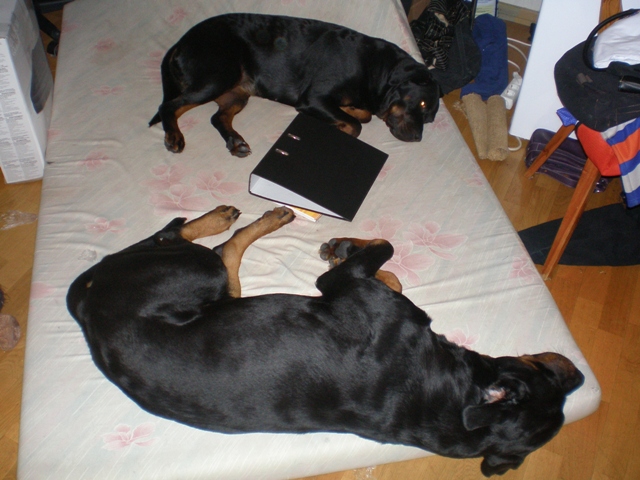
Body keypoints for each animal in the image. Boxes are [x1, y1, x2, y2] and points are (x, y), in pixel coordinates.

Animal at [67, 206, 584, 477]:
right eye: (543, 369)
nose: (574, 370)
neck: (450, 399)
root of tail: (88, 312)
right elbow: (390, 262)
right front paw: (360, 254)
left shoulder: (341, 285)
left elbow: (381, 257)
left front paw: (347, 247)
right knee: (181, 239)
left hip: (190, 272)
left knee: (202, 245)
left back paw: (242, 217)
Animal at [148, 13, 440, 156]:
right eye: (421, 102)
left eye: (430, 118)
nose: (418, 138)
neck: (376, 67)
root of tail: (181, 41)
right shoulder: (314, 98)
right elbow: (356, 126)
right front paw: (340, 127)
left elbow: (363, 115)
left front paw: (354, 111)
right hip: (218, 76)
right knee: (169, 106)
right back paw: (174, 136)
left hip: (236, 93)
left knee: (217, 117)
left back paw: (236, 142)